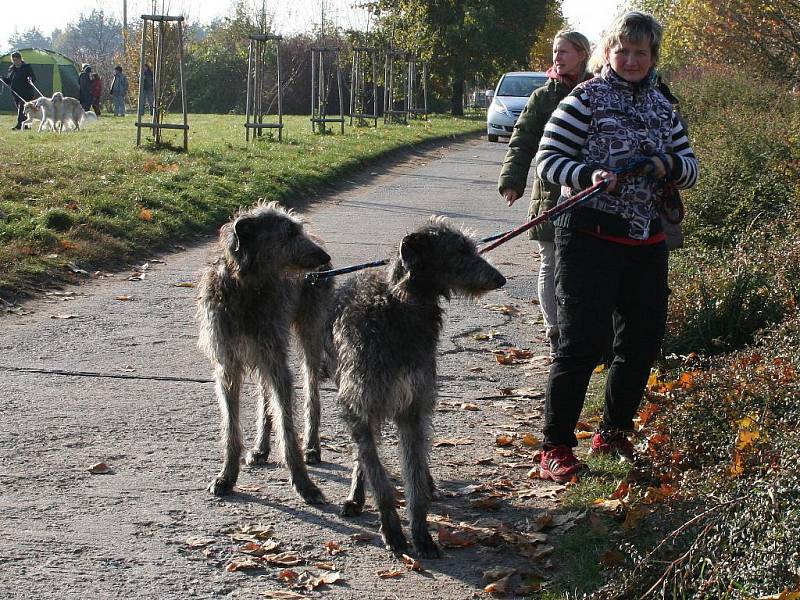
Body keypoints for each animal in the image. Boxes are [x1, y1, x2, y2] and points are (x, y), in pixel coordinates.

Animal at [326, 217, 504, 556]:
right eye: (459, 250)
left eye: (470, 247)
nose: (499, 279)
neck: (400, 305)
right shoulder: (361, 404)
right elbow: (377, 475)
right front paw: (393, 531)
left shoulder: (413, 406)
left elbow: (414, 472)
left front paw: (421, 534)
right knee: (362, 453)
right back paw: (356, 496)